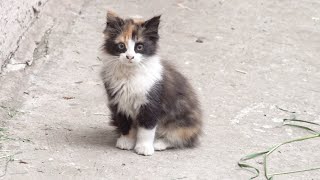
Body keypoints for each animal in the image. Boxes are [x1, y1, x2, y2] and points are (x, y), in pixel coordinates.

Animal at [101, 10, 201, 156]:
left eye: (139, 47)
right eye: (121, 46)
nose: (130, 57)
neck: (130, 75)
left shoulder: (151, 103)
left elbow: (146, 129)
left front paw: (144, 147)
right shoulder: (119, 102)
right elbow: (125, 124)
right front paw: (126, 141)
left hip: (182, 121)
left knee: (179, 137)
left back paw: (159, 143)